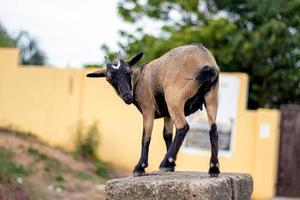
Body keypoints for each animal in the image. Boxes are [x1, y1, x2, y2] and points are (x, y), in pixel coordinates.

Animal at [86, 43, 220, 177]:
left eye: (128, 72)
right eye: (109, 79)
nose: (127, 97)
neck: (140, 79)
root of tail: (204, 60)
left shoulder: (148, 109)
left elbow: (145, 137)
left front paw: (140, 167)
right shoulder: (167, 114)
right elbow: (167, 135)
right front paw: (171, 166)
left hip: (174, 99)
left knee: (183, 127)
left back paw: (164, 162)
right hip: (211, 97)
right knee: (213, 130)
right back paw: (213, 168)